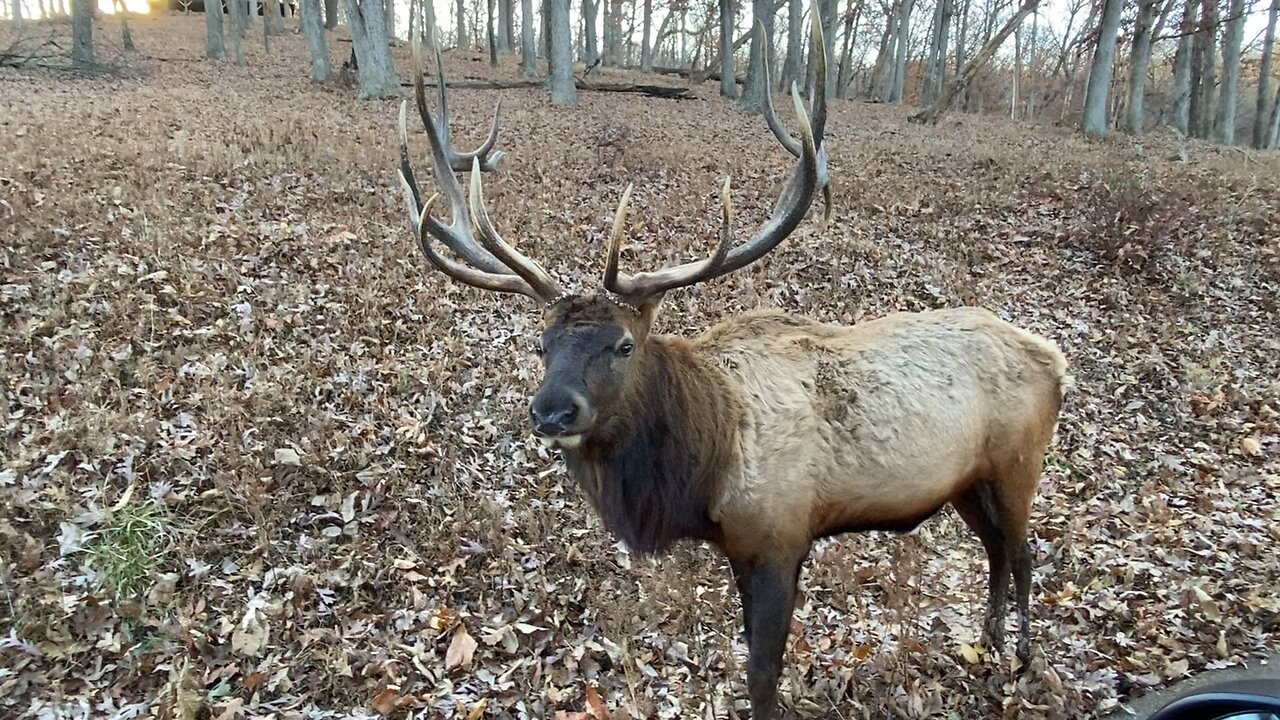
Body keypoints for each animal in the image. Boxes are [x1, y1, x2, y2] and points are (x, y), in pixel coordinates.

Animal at [391, 19, 1070, 712]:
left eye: (624, 345)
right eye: (541, 345)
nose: (552, 411)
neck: (701, 470)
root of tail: (1056, 362)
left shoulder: (778, 535)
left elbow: (763, 672)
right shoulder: (741, 547)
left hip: (1018, 465)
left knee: (1023, 553)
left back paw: (1020, 657)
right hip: (966, 482)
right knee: (995, 551)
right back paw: (985, 642)